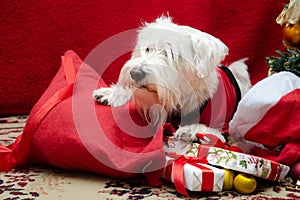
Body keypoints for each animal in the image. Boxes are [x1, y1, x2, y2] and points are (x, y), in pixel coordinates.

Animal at [93, 16, 251, 144]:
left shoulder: (221, 128)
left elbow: (207, 130)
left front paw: (189, 131)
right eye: (148, 49)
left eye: (171, 55)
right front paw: (113, 93)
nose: (135, 73)